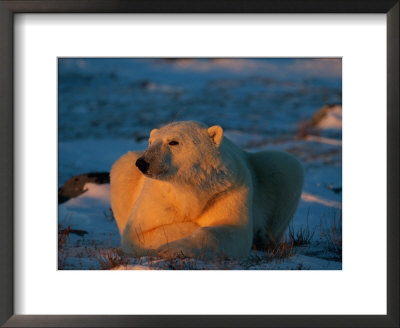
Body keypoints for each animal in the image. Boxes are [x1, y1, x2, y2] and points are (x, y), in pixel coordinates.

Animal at [109, 120, 304, 258]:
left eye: (173, 142)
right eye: (150, 142)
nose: (143, 162)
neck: (190, 186)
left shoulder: (227, 190)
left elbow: (231, 229)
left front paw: (173, 248)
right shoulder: (158, 197)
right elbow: (140, 233)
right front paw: (189, 226)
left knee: (285, 165)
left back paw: (264, 237)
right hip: (125, 169)